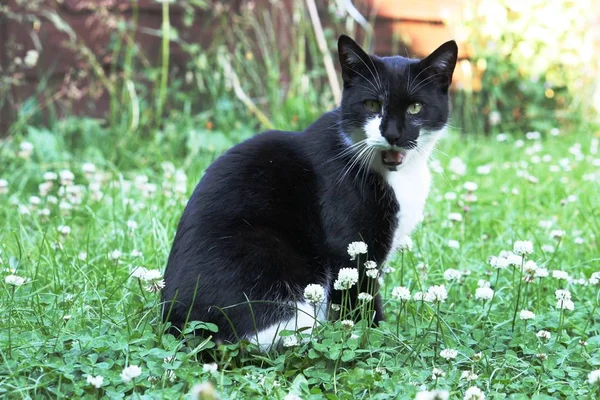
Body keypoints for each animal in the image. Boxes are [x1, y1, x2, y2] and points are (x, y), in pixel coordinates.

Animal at [162, 34, 458, 348]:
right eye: (371, 104)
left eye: (415, 108)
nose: (392, 134)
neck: (398, 175)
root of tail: (178, 324)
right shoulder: (350, 243)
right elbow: (360, 299)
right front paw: (374, 334)